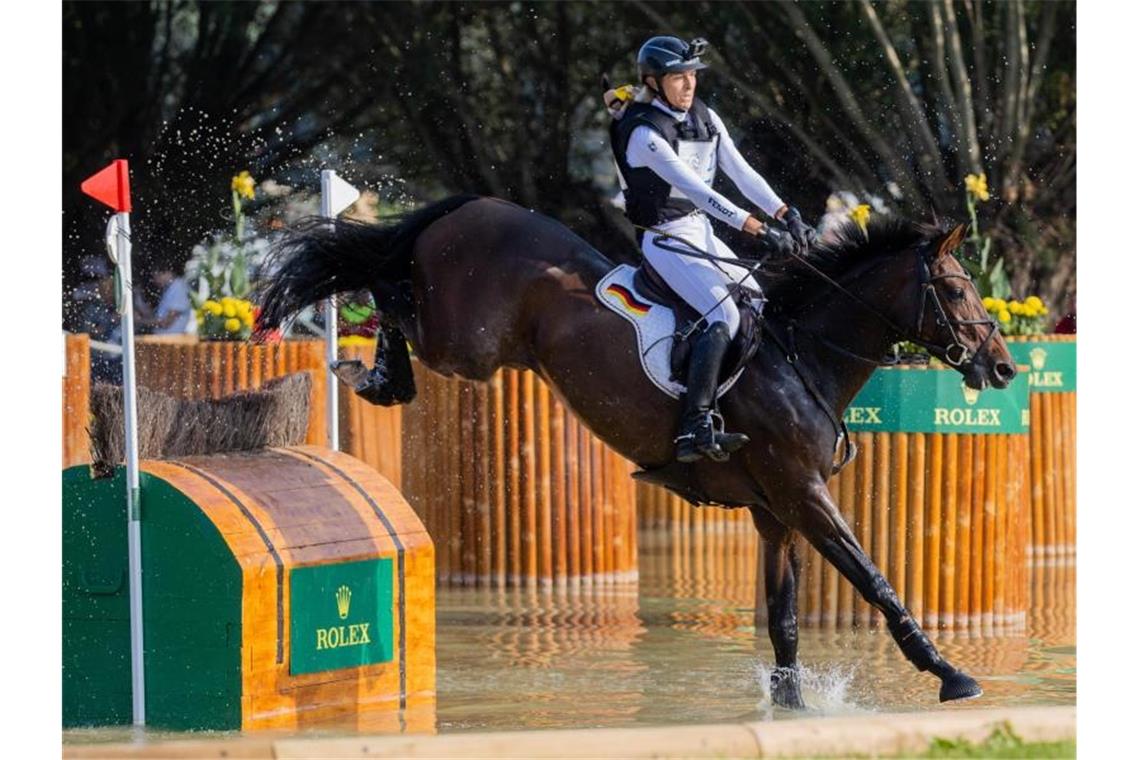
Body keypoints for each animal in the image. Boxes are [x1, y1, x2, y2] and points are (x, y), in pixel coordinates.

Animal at [256, 194, 1016, 706]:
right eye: (955, 290)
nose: (1004, 368)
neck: (802, 358)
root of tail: (475, 204)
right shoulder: (804, 494)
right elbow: (875, 581)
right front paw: (950, 674)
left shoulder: (776, 513)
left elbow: (786, 623)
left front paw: (791, 706)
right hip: (467, 344)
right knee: (388, 292)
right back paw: (372, 372)